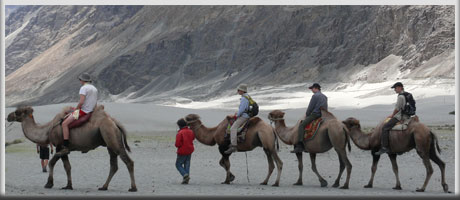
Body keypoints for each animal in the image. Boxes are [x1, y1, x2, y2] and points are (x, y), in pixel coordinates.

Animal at [7, 105, 137, 191]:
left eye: (17, 112)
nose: (8, 116)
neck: (47, 130)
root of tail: (115, 123)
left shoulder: (60, 146)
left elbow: (52, 162)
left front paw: (49, 184)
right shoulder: (63, 149)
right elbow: (67, 167)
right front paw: (68, 186)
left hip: (111, 135)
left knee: (128, 161)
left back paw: (133, 188)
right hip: (109, 142)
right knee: (114, 165)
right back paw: (103, 187)